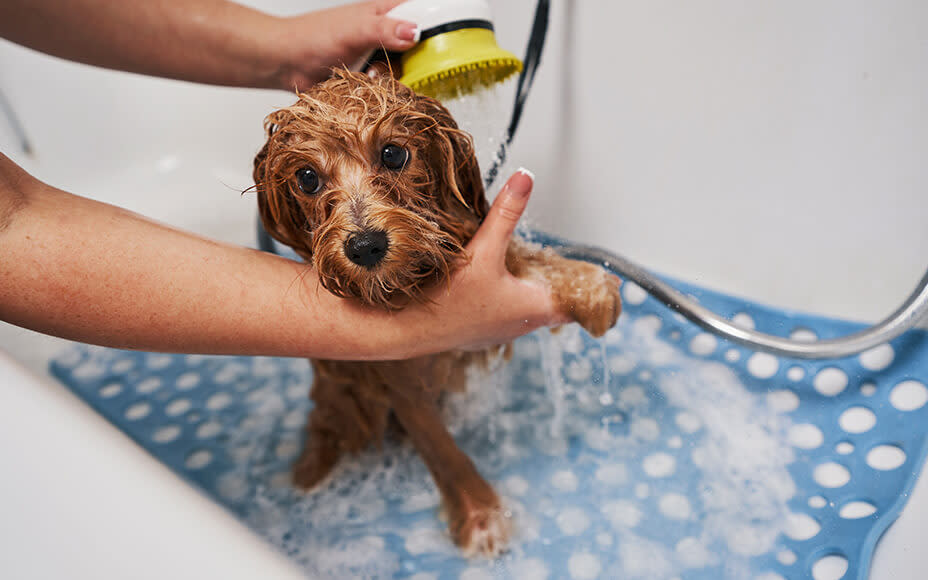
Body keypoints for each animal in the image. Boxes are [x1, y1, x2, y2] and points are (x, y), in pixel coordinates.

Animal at [252, 69, 624, 556]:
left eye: (393, 153)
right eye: (308, 178)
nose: (365, 245)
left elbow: (518, 254)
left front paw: (586, 284)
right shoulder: (401, 385)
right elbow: (442, 450)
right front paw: (481, 516)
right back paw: (309, 473)